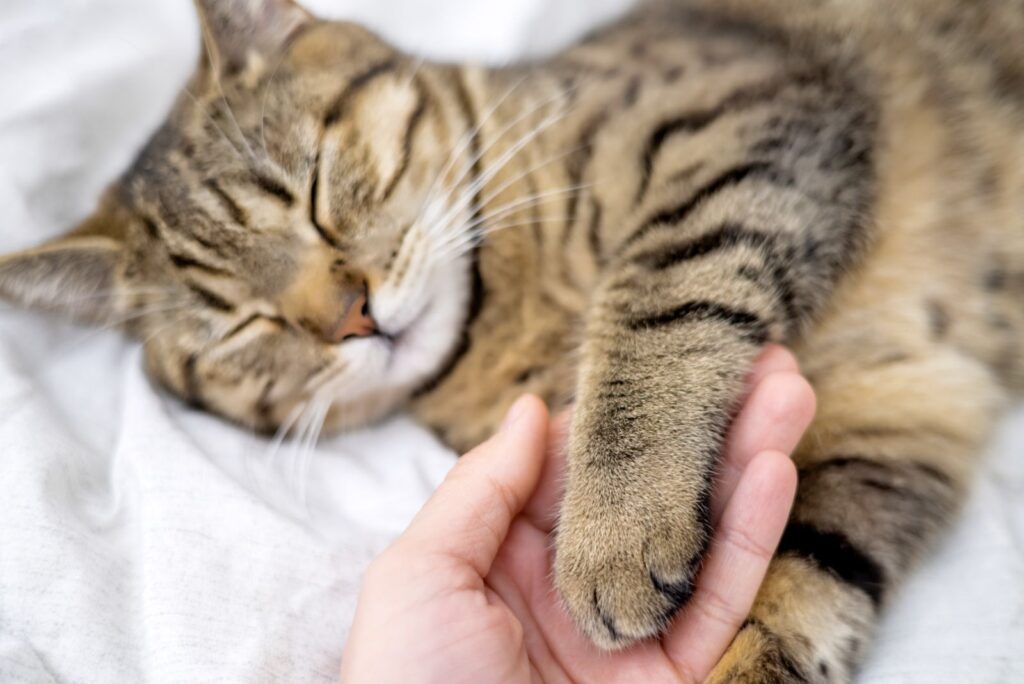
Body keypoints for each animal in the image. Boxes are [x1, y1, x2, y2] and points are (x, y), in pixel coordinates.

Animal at [2, 0, 1024, 679]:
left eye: (315, 190)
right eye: (244, 324)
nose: (351, 315)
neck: (503, 316)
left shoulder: (748, 113)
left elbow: (655, 304)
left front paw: (612, 532)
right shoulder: (893, 413)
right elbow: (803, 582)